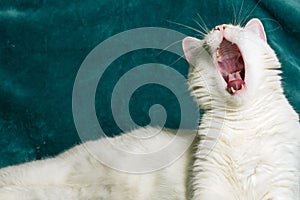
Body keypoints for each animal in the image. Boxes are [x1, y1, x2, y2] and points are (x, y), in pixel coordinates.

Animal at [0, 18, 298, 199]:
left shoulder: (283, 185)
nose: (220, 25)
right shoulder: (207, 186)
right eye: (209, 39)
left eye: (238, 27)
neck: (242, 123)